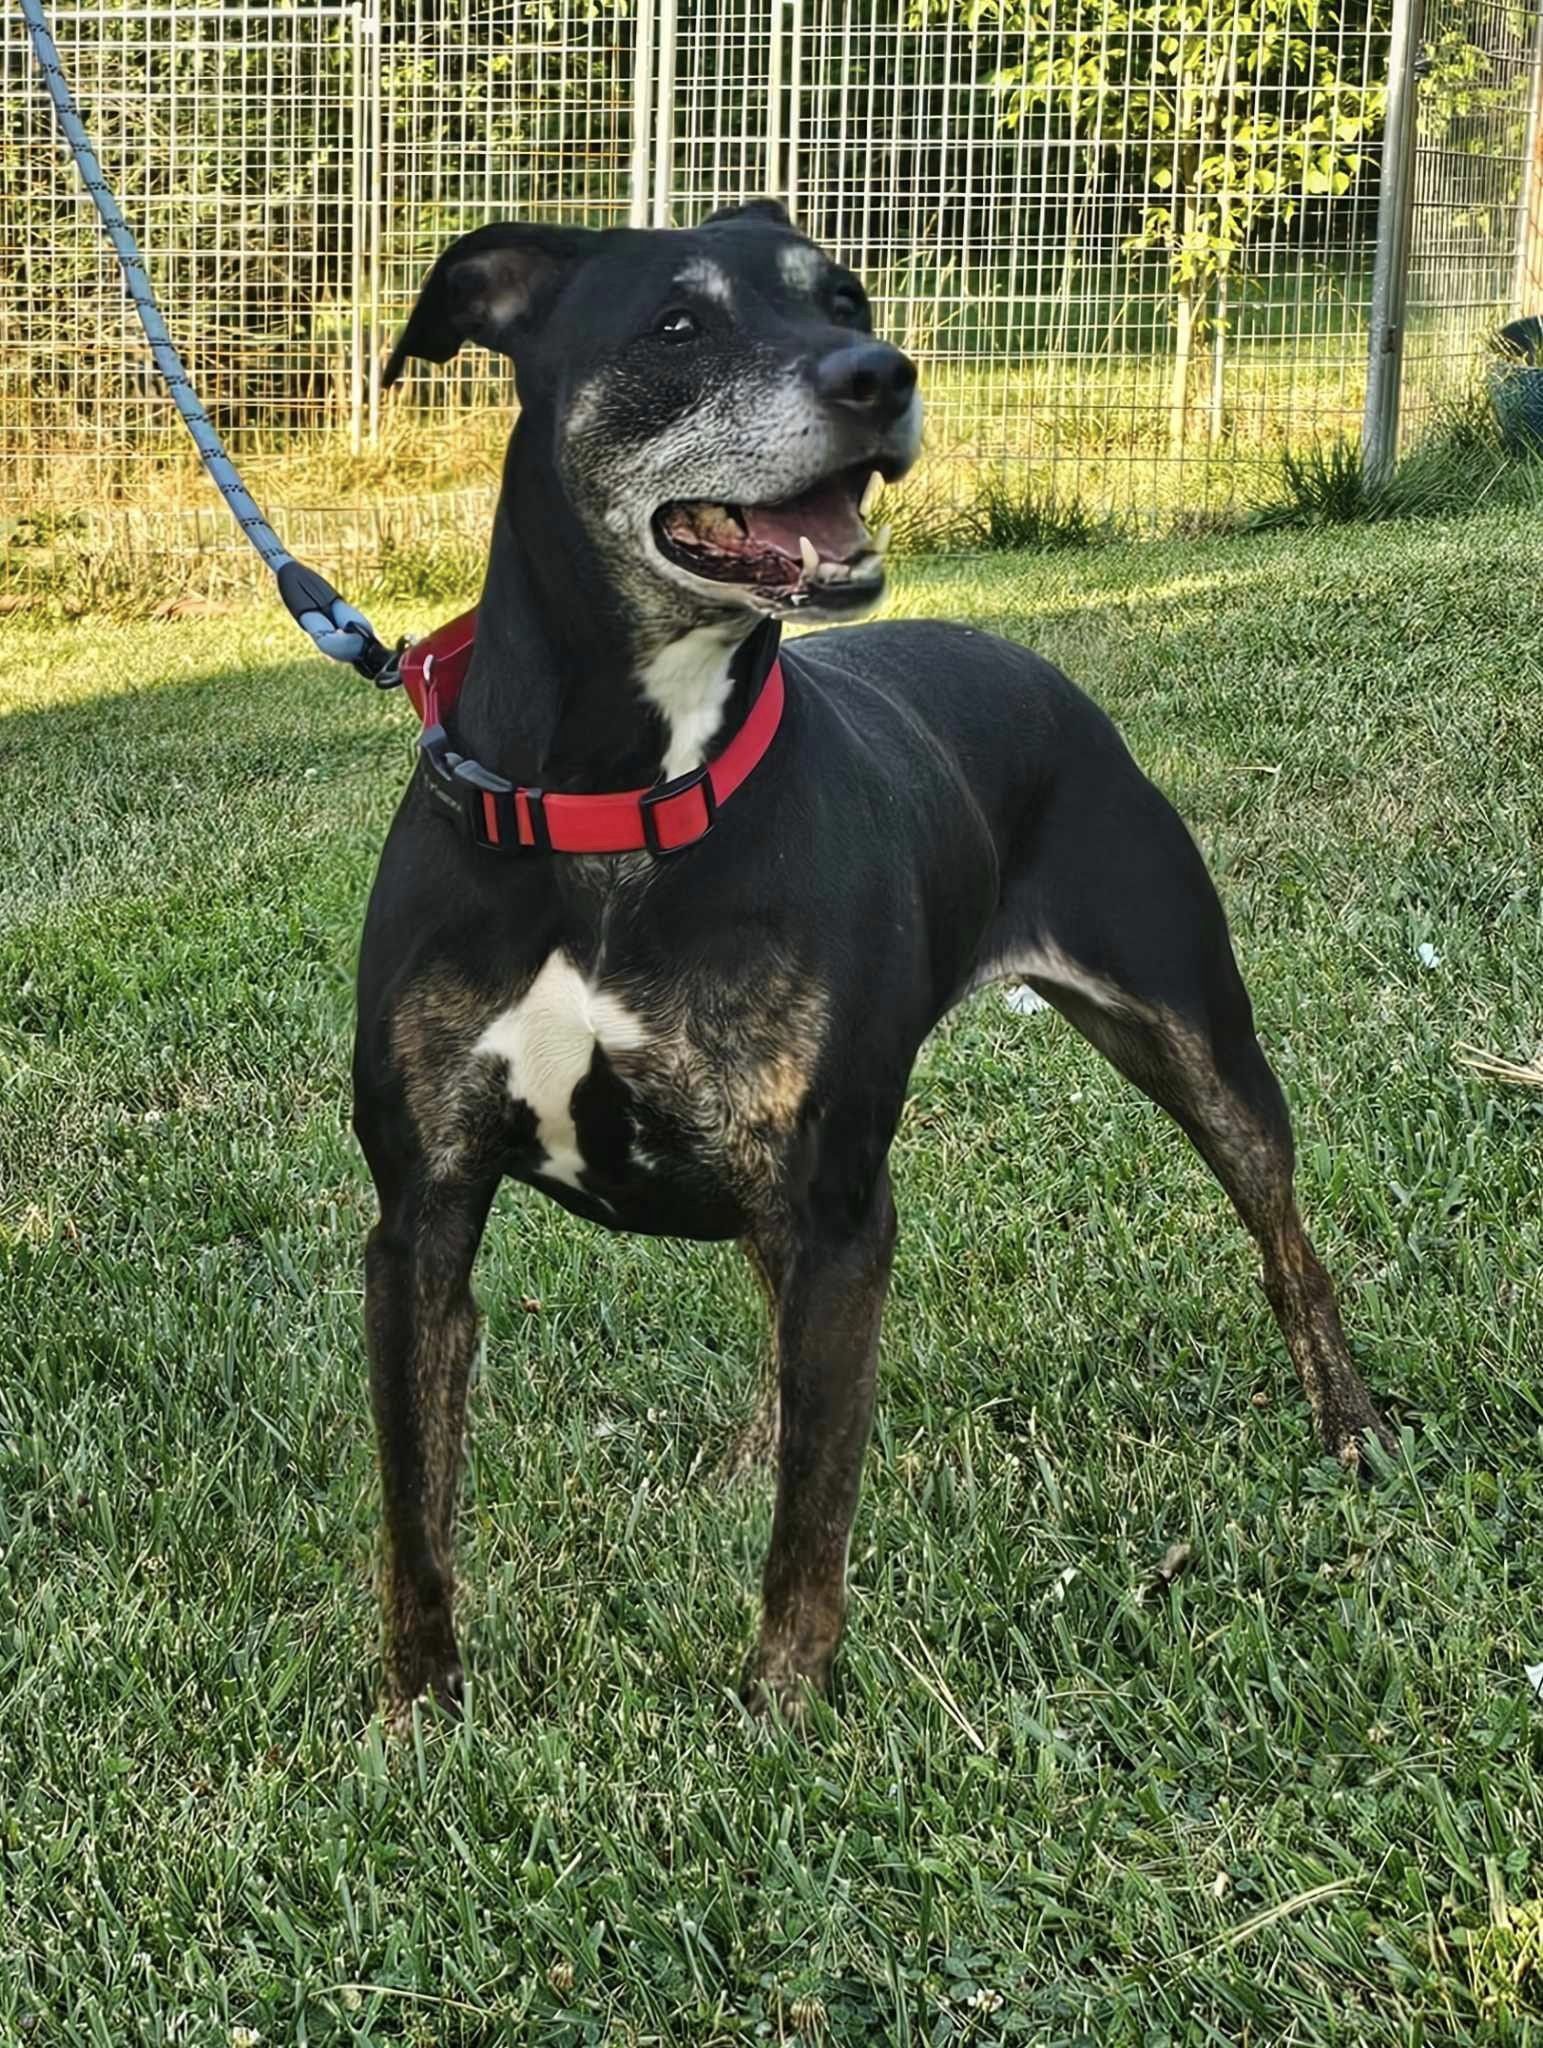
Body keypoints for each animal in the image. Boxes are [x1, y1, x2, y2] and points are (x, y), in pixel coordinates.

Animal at [354, 199, 1393, 1720]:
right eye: (677, 323)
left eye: (843, 296)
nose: (879, 375)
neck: (614, 808)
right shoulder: (420, 1214)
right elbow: (414, 1510)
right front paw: (419, 1714)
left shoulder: (839, 1201)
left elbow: (814, 1515)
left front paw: (780, 1709)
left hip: (1192, 1038)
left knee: (1283, 1242)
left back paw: (1351, 1424)